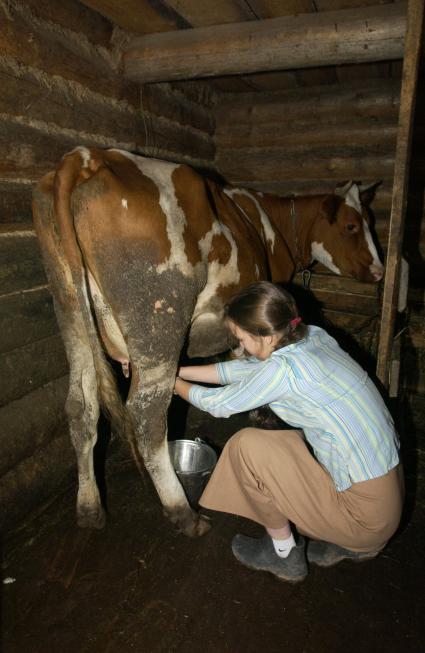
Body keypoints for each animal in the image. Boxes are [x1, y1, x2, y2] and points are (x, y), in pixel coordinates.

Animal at [32, 148, 384, 536]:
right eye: (351, 226)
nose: (380, 271)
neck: (274, 226)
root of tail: (89, 157)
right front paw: (262, 413)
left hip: (69, 310)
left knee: (81, 406)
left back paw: (89, 508)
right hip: (159, 317)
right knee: (147, 415)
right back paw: (183, 513)